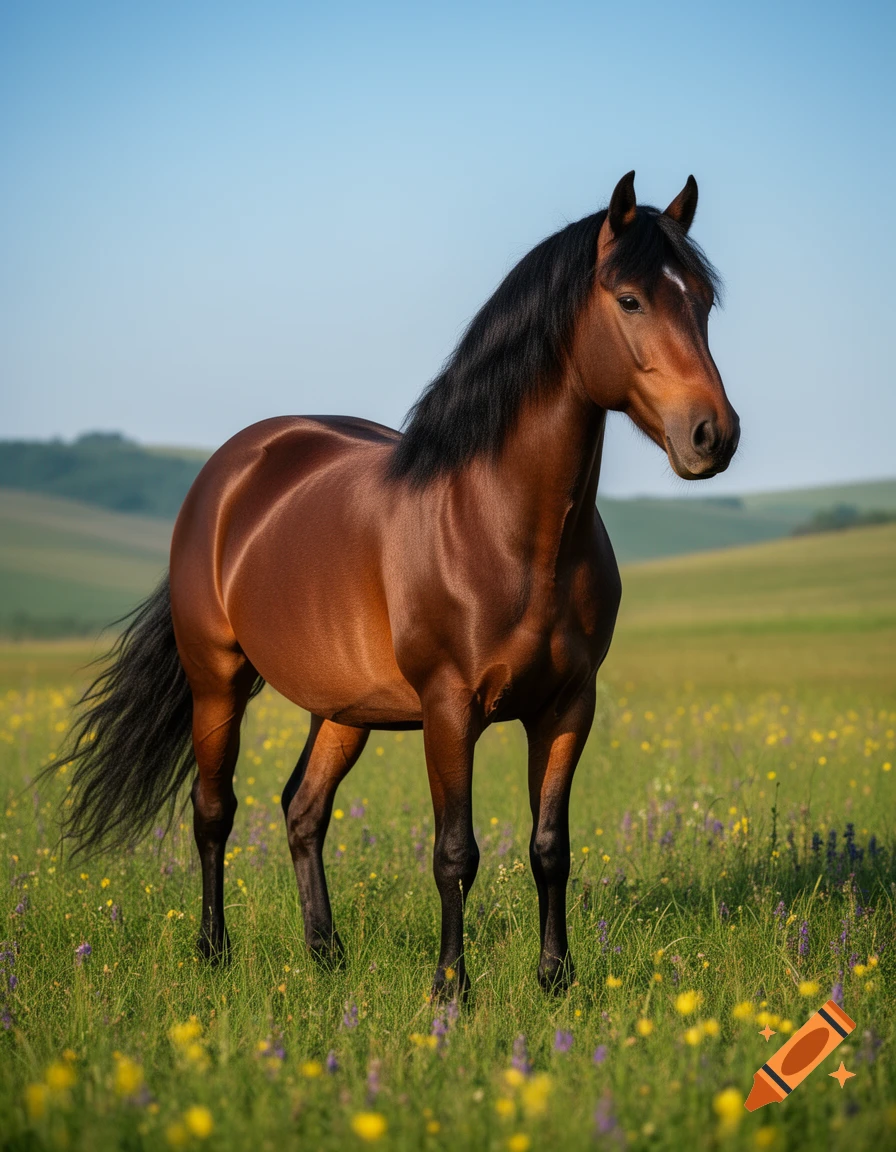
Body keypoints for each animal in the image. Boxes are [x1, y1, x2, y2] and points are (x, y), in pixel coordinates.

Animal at [58, 171, 739, 996]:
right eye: (631, 299)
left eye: (703, 300)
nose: (713, 435)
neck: (506, 529)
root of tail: (231, 471)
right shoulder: (449, 708)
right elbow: (455, 853)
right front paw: (451, 989)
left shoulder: (569, 706)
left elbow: (551, 847)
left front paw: (556, 980)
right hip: (216, 679)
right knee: (212, 809)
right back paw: (213, 951)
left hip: (343, 708)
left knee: (303, 809)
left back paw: (326, 955)